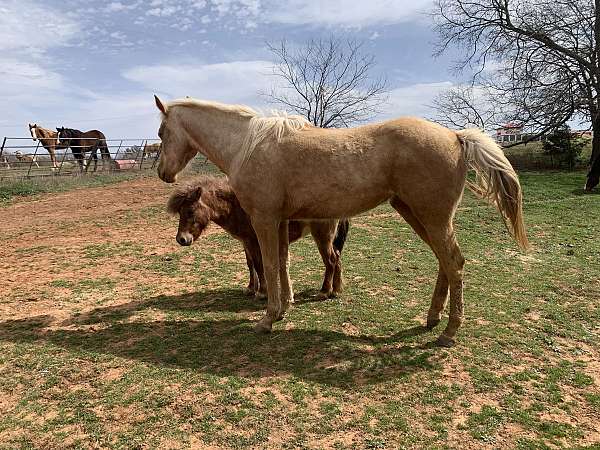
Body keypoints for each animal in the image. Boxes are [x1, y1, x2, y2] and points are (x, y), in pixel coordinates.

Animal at [166, 176, 350, 298]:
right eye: (180, 212)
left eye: (190, 211)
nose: (181, 239)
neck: (237, 206)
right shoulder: (246, 242)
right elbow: (250, 264)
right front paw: (251, 288)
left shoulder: (254, 242)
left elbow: (258, 264)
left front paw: (262, 292)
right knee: (337, 258)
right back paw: (336, 290)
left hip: (322, 236)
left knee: (331, 261)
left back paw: (325, 291)